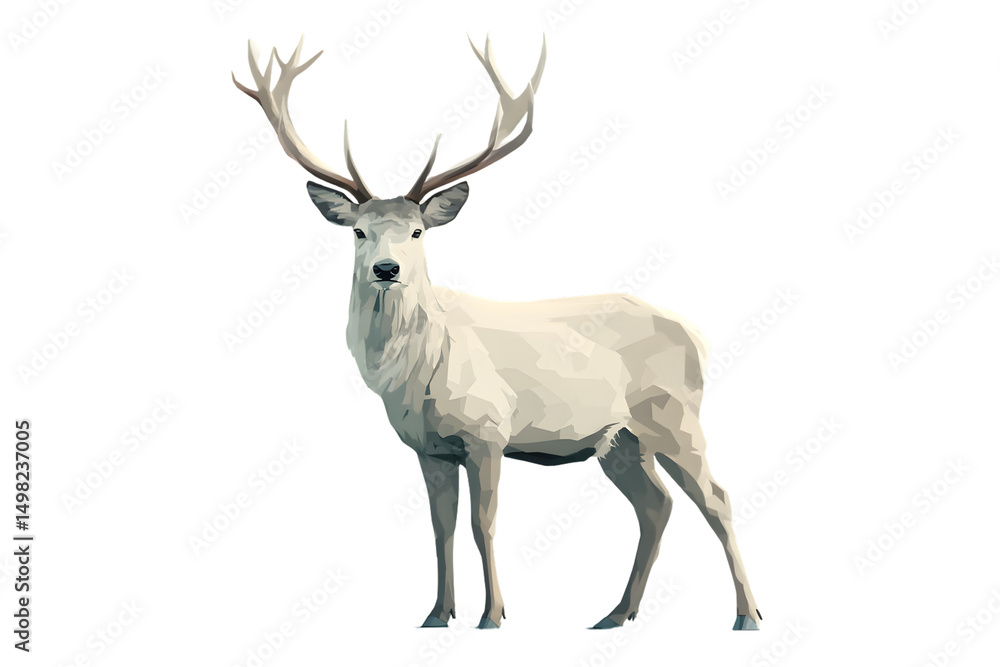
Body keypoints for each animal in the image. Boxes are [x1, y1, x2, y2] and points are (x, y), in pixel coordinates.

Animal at [233, 35, 762, 631]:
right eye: (359, 231)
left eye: (417, 231)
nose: (387, 269)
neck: (415, 374)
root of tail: (698, 336)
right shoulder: (429, 448)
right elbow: (440, 528)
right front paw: (437, 615)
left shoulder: (488, 431)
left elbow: (481, 525)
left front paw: (492, 616)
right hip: (620, 439)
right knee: (657, 505)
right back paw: (615, 613)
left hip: (674, 414)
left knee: (716, 498)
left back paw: (747, 615)